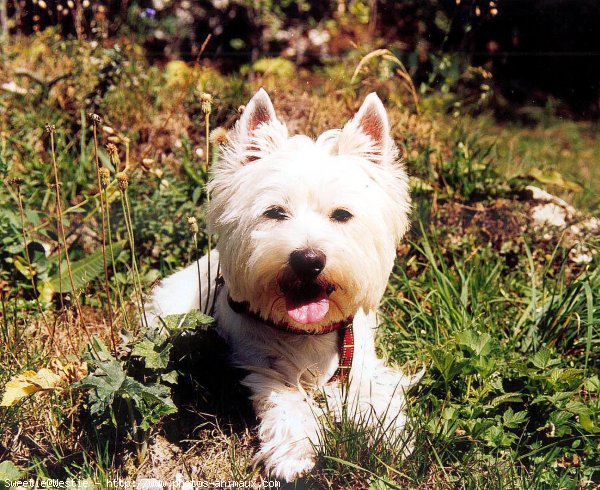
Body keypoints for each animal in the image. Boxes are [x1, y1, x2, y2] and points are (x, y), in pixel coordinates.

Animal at [149, 89, 422, 482]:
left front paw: (392, 437)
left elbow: (373, 392)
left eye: (342, 214)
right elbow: (284, 399)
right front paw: (295, 456)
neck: (308, 333)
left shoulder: (360, 360)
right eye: (275, 212)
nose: (308, 260)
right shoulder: (259, 361)